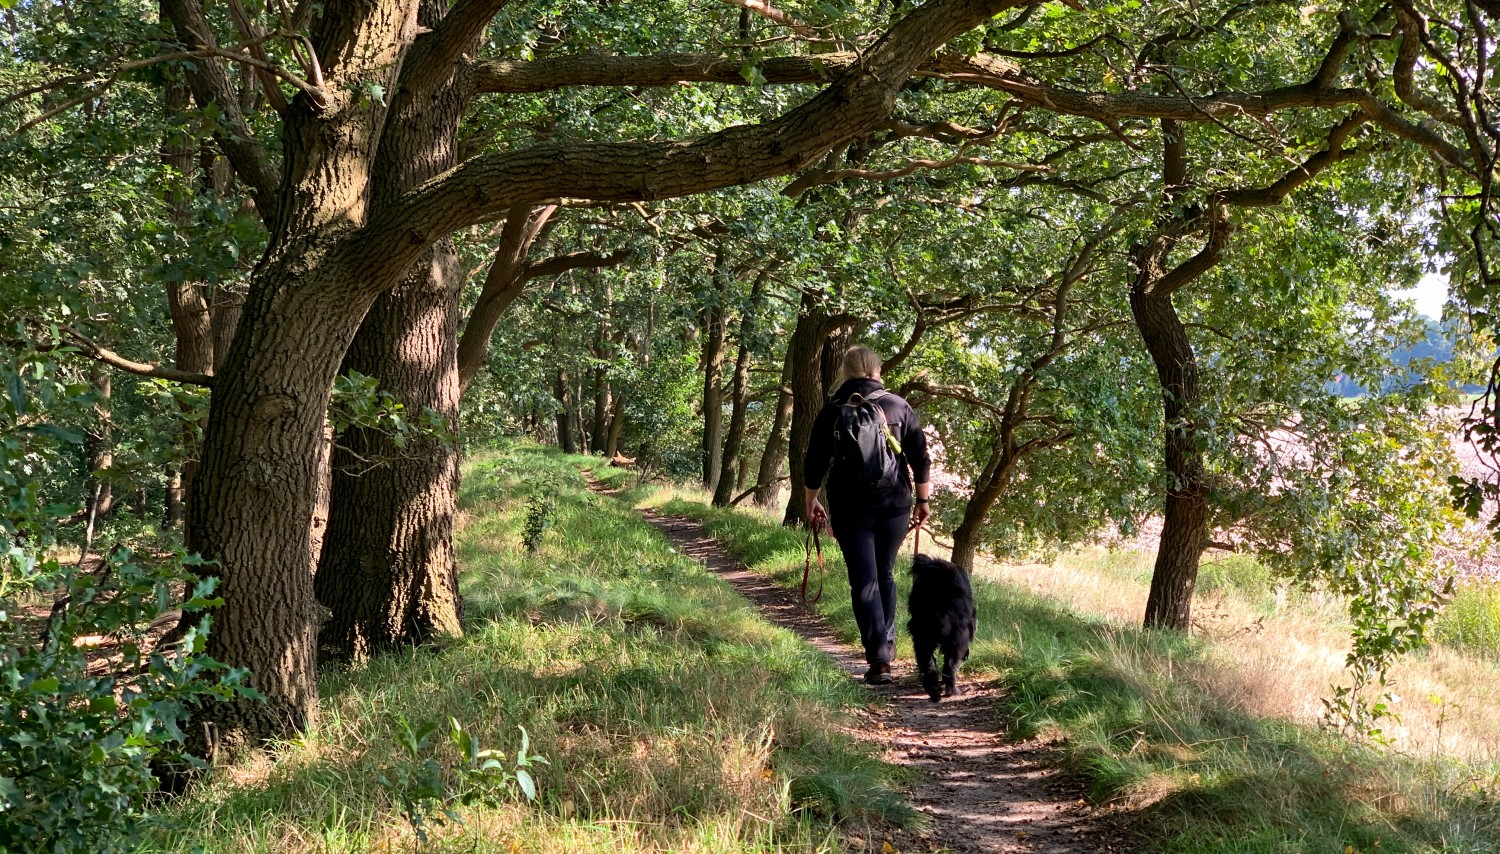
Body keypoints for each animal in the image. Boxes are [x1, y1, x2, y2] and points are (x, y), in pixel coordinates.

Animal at [906, 552, 978, 699]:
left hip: (923, 636)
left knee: (929, 665)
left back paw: (934, 691)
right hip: (956, 640)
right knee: (949, 668)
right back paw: (952, 691)